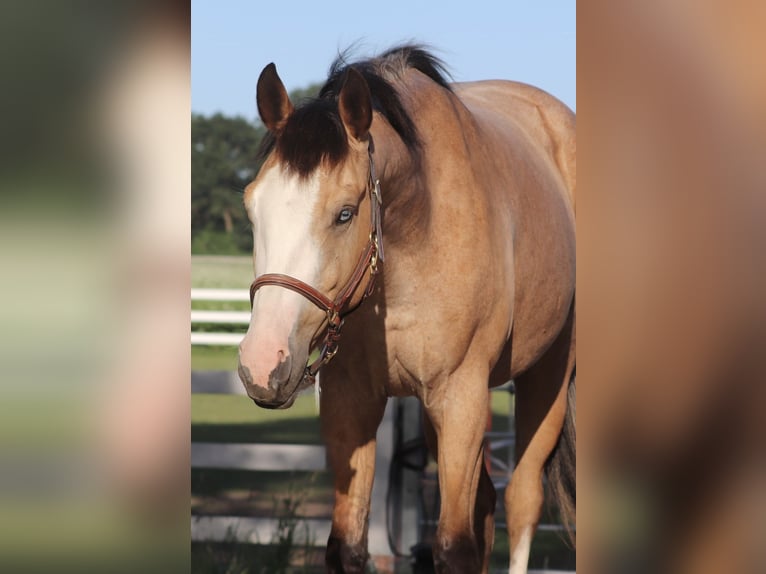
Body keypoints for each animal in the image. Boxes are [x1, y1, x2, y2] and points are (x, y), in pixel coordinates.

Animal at [237, 45, 576, 574]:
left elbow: (454, 548)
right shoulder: (352, 400)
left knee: (521, 503)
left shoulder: (460, 397)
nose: (262, 363)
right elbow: (347, 546)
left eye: (345, 213)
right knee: (487, 504)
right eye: (252, 208)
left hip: (549, 375)